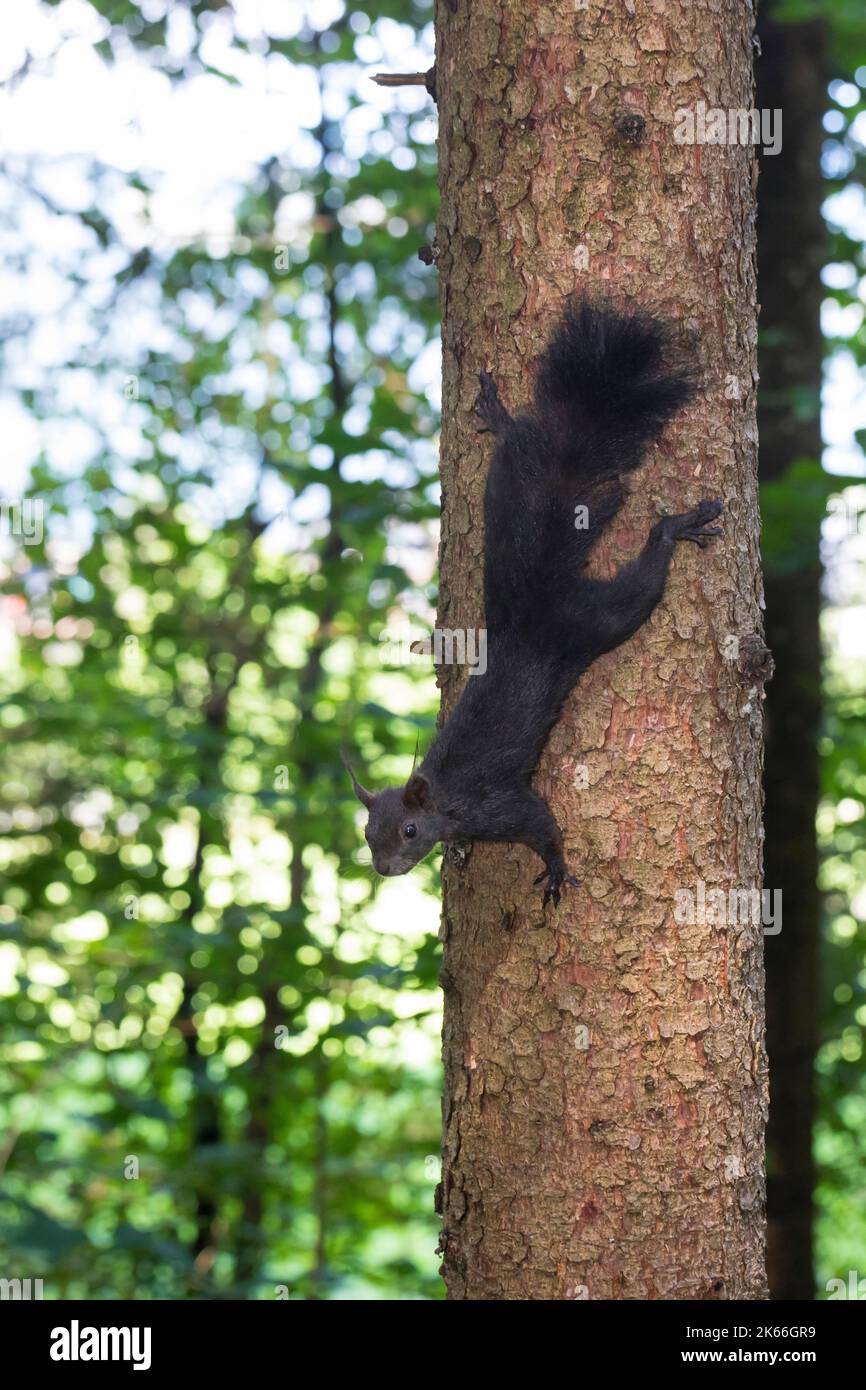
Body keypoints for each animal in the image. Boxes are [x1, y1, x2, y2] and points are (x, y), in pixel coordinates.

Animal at [347, 298, 723, 907]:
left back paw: (676, 527)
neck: (446, 796)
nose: (383, 869)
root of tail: (534, 599)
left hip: (598, 618)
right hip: (506, 498)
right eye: (366, 832)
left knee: (641, 579)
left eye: (408, 830)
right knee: (517, 447)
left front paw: (556, 869)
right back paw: (497, 416)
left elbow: (543, 825)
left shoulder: (497, 805)